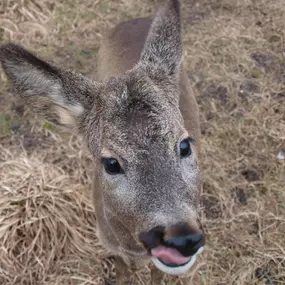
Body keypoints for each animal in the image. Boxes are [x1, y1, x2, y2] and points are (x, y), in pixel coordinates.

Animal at [0, 0, 204, 282]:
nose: (181, 238)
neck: (133, 246)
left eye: (184, 145)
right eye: (110, 163)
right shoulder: (108, 243)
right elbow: (122, 272)